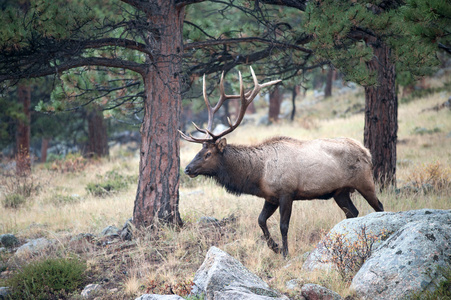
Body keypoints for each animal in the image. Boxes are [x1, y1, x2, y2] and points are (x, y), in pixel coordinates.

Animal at [180, 68, 384, 258]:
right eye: (199, 151)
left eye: (207, 154)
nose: (187, 169)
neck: (259, 174)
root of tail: (367, 152)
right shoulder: (270, 197)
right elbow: (260, 220)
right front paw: (275, 247)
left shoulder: (287, 192)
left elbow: (283, 225)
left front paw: (285, 252)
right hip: (340, 192)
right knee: (352, 212)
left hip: (365, 181)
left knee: (378, 206)